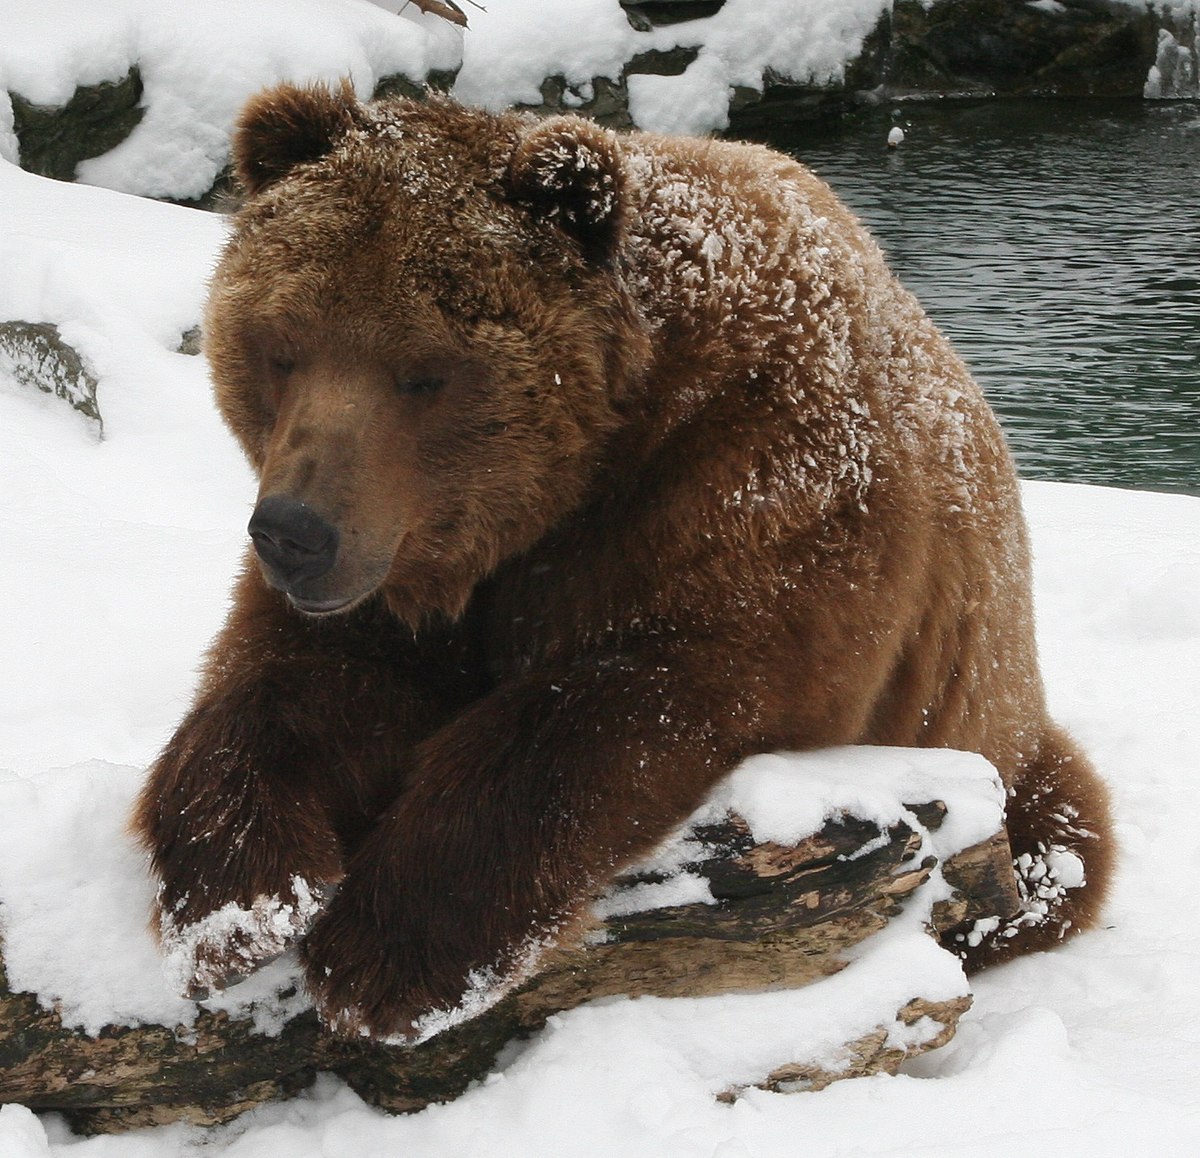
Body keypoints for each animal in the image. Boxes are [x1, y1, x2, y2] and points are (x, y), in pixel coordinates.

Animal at [131, 81, 1113, 1041]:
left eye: (423, 372)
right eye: (281, 347)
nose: (295, 532)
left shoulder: (756, 489)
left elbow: (633, 696)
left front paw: (385, 952)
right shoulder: (410, 569)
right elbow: (291, 683)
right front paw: (241, 896)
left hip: (992, 726)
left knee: (1062, 842)